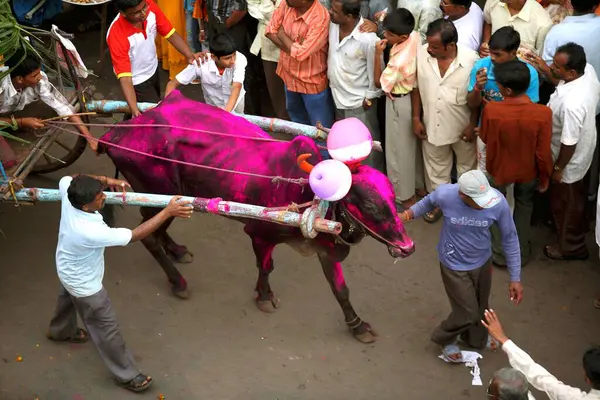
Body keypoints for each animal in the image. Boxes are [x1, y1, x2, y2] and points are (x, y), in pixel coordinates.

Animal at [99, 91, 418, 344]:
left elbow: (340, 289)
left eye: (392, 197)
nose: (408, 247)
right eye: (370, 205)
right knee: (148, 235)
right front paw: (264, 297)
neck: (312, 198)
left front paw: (357, 326)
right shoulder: (260, 235)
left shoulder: (326, 249)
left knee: (153, 225)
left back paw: (177, 250)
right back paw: (178, 281)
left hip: (171, 198)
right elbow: (266, 267)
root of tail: (116, 131)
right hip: (158, 193)